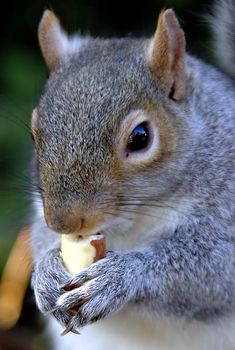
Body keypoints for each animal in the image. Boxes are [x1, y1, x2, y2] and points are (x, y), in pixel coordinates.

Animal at [29, 0, 235, 350]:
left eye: (140, 138)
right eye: (34, 133)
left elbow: (214, 267)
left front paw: (121, 275)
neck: (138, 218)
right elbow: (37, 238)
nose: (62, 223)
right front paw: (46, 269)